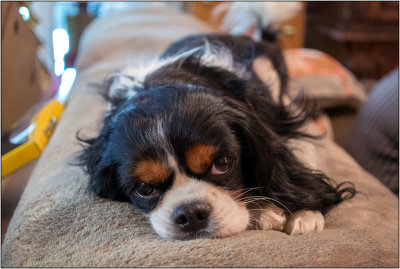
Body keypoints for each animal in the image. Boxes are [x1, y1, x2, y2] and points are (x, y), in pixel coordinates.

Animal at [76, 3, 354, 239]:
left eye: (222, 164)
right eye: (144, 187)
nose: (190, 213)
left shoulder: (282, 123)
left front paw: (305, 213)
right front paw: (265, 211)